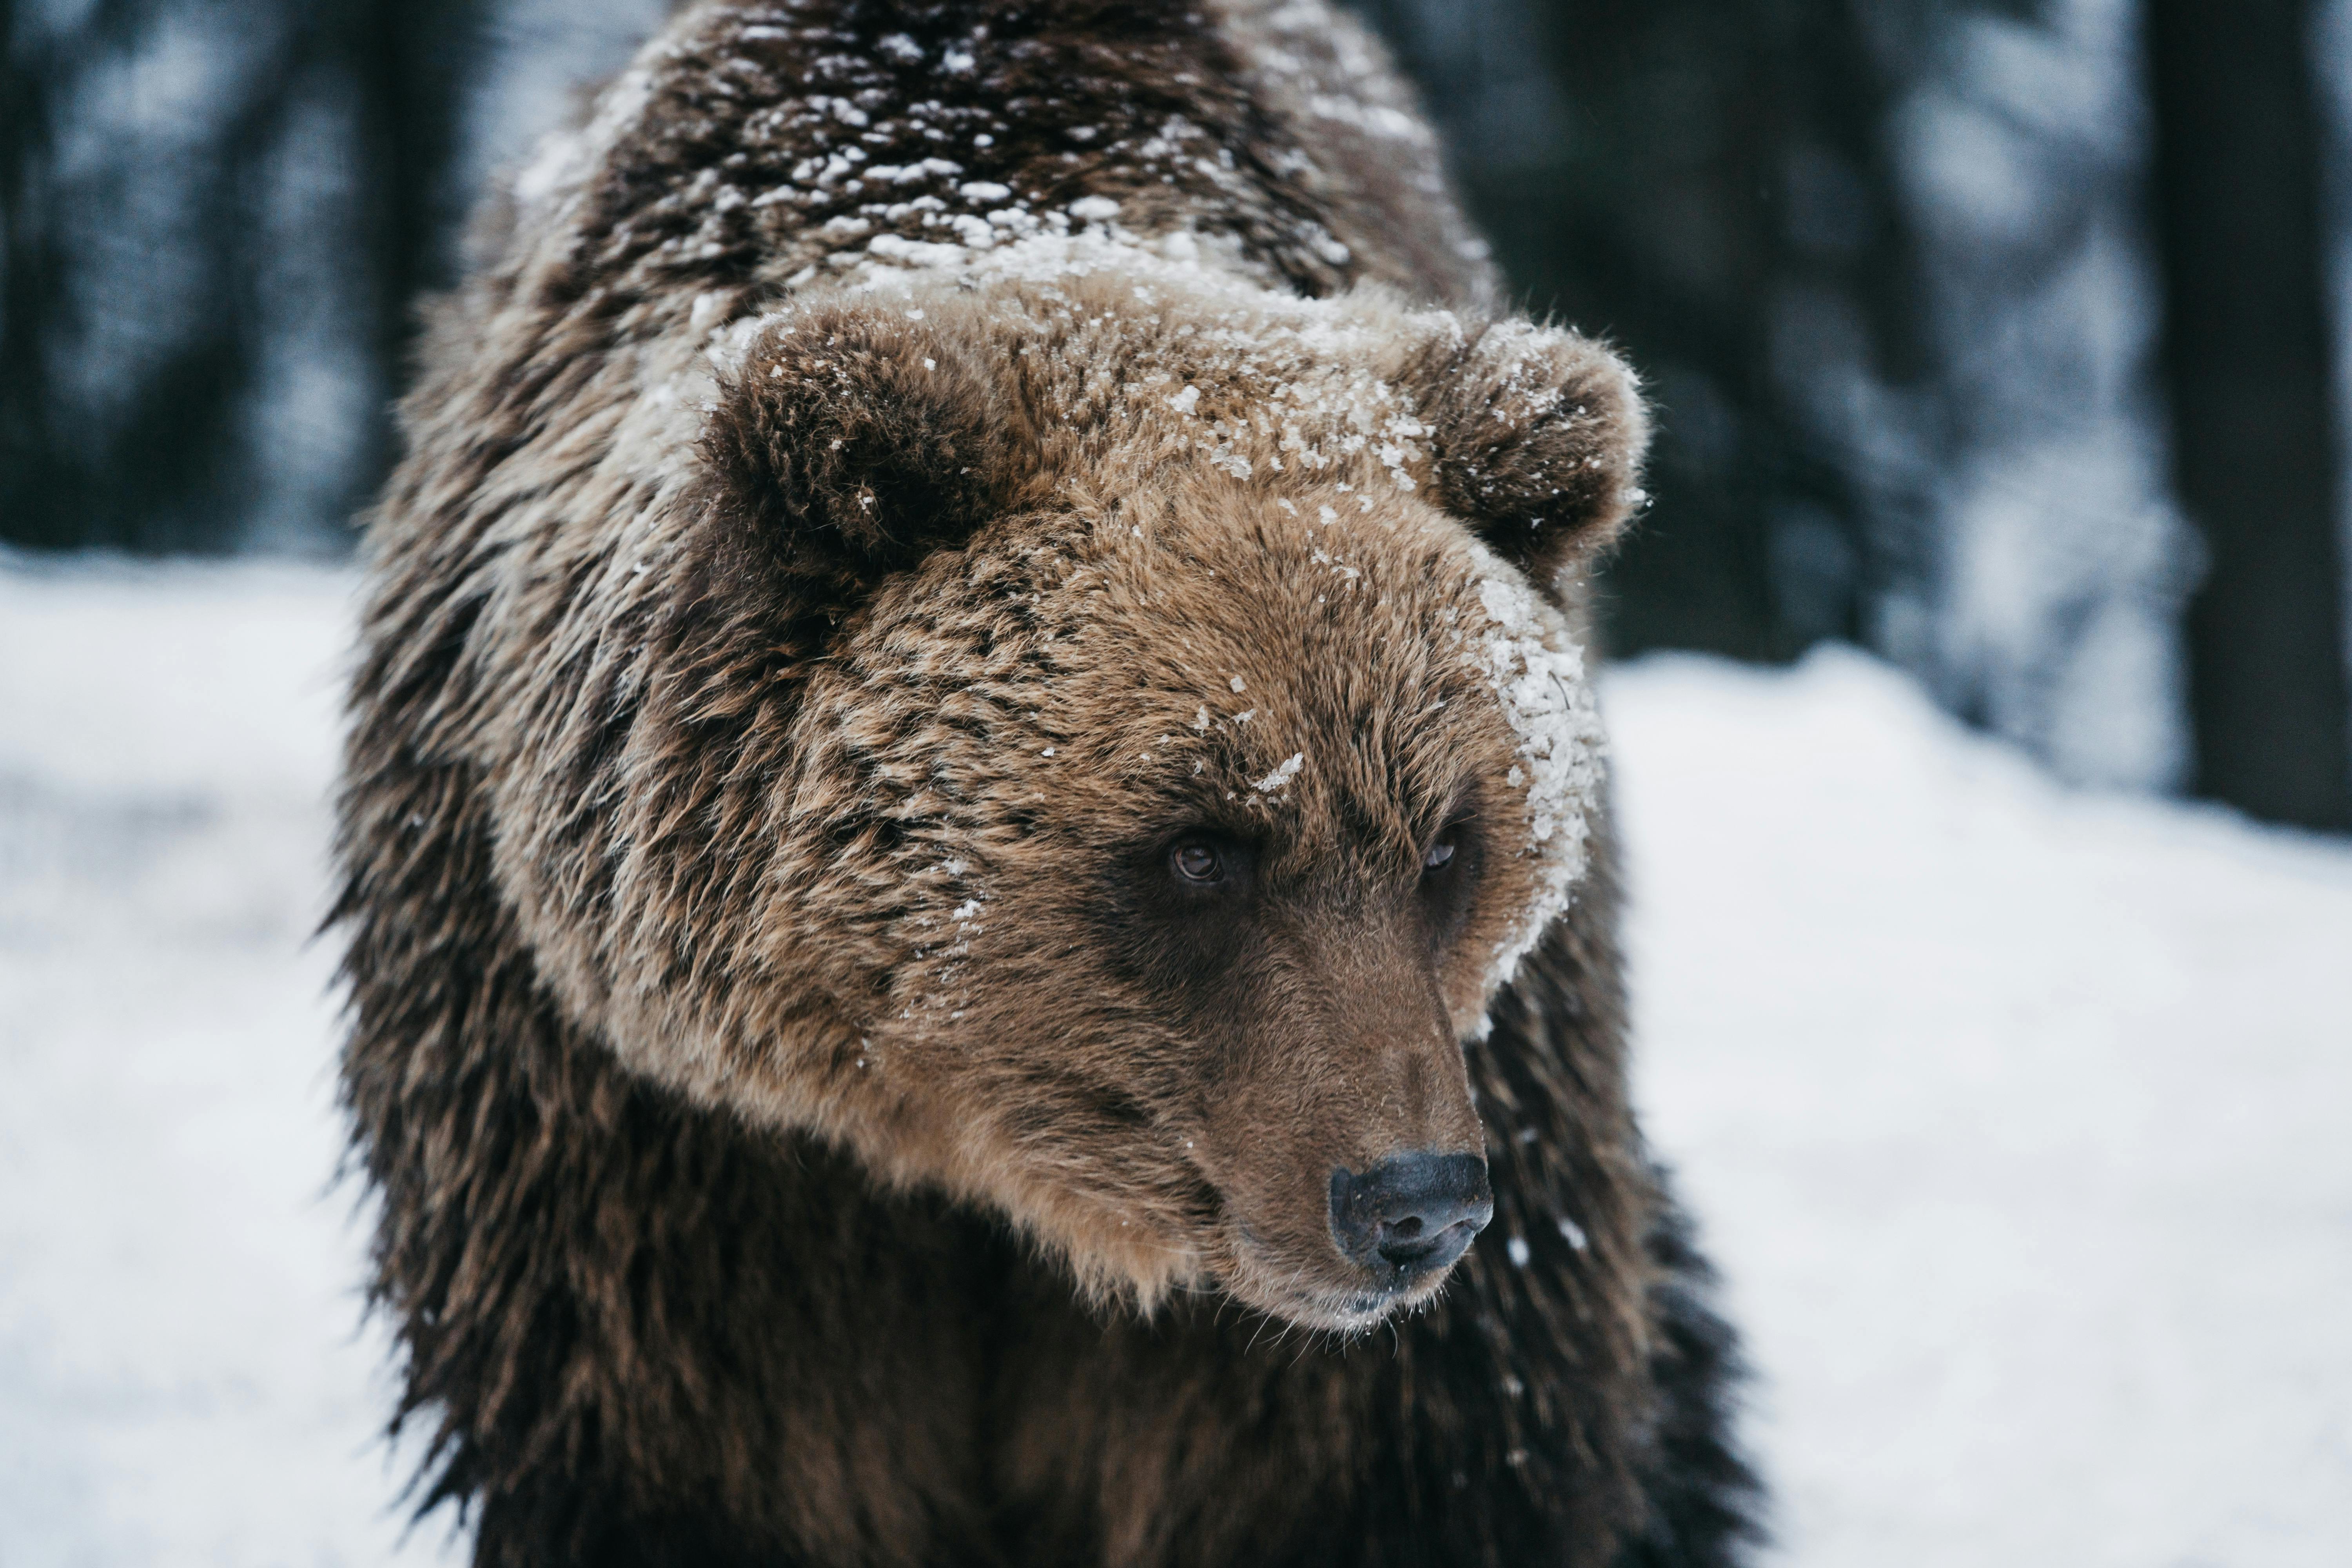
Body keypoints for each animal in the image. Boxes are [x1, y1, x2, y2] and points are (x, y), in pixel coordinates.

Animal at [332, 3, 1769, 1568]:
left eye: (1449, 844)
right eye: (1197, 846)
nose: (1410, 1203)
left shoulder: (1425, 1170)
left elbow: (1388, 1458)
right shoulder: (643, 1133)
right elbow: (703, 1461)